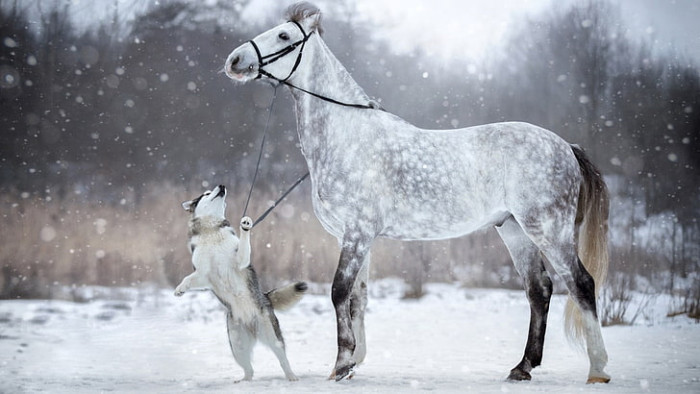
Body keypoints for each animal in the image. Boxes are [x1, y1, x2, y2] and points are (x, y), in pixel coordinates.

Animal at [174, 185, 304, 382]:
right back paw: (243, 381)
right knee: (249, 369)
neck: (212, 232)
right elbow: (188, 278)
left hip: (272, 337)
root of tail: (265, 297)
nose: (222, 186)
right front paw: (180, 289)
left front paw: (246, 225)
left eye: (211, 190)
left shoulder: (239, 261)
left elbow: (243, 244)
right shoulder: (204, 275)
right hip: (237, 346)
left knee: (283, 359)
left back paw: (291, 376)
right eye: (206, 193)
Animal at [223, 1, 608, 384]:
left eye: (284, 36)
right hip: (515, 230)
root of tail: (566, 146)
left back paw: (598, 370)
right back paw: (522, 367)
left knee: (581, 284)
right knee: (539, 289)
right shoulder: (353, 238)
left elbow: (338, 292)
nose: (234, 60)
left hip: (549, 230)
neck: (347, 136)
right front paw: (353, 362)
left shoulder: (357, 234)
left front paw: (342, 364)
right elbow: (358, 297)